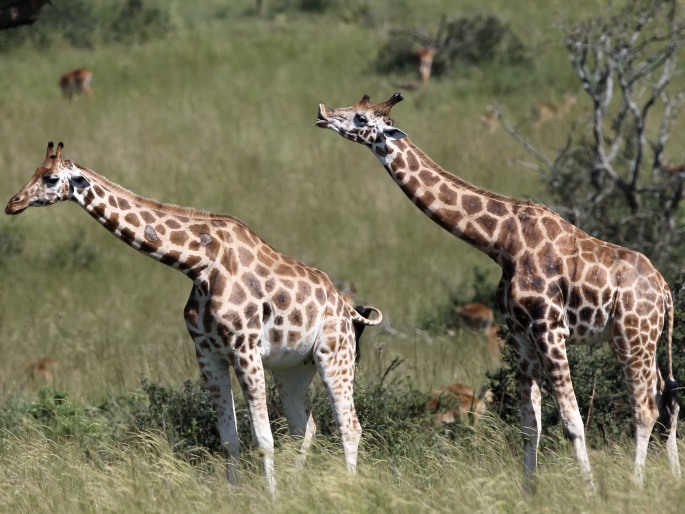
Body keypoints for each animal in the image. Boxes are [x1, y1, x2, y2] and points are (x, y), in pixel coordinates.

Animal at [5, 140, 382, 492]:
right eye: (35, 170)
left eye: (51, 178)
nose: (13, 203)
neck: (199, 265)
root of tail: (349, 310)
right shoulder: (207, 353)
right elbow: (229, 439)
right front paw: (236, 495)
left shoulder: (244, 349)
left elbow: (263, 439)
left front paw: (270, 498)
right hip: (293, 368)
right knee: (304, 426)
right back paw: (296, 487)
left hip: (334, 354)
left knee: (349, 426)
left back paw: (347, 486)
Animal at [316, 93, 680, 484]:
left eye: (360, 117)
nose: (323, 114)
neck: (501, 241)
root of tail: (665, 290)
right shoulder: (521, 335)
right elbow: (530, 424)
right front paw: (530, 489)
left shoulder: (550, 329)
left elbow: (572, 420)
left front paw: (590, 489)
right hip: (639, 339)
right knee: (667, 400)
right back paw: (673, 477)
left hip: (633, 336)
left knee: (646, 408)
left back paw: (636, 483)